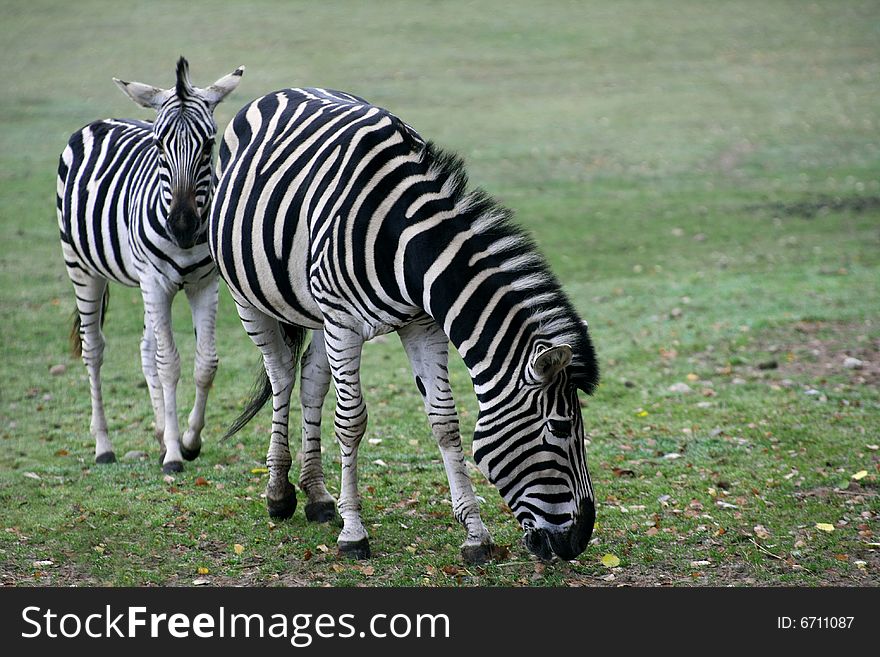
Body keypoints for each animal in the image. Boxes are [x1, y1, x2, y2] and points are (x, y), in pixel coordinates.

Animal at [57, 56, 244, 472]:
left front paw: (187, 441)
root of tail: (103, 120)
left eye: (210, 144)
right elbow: (169, 364)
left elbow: (205, 363)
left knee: (146, 349)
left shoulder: (204, 284)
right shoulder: (156, 283)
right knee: (94, 350)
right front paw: (174, 454)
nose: (183, 225)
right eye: (159, 144)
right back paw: (104, 446)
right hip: (82, 267)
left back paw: (159, 433)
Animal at [210, 86, 600, 560]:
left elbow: (444, 421)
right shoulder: (344, 323)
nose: (579, 540)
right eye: (559, 429)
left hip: (316, 311)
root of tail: (282, 90)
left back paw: (317, 496)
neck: (405, 240)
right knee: (282, 375)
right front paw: (354, 532)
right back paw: (279, 494)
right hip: (247, 295)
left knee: (311, 381)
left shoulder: (421, 323)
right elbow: (352, 421)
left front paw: (476, 534)